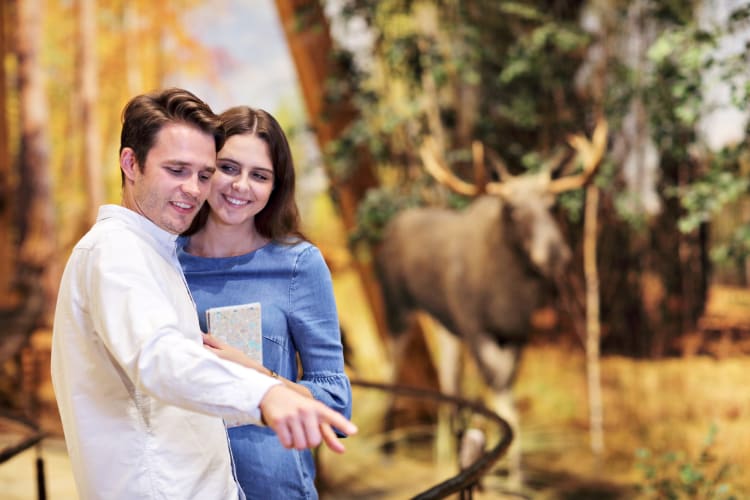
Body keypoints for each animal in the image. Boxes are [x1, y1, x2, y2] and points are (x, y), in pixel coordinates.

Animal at [376, 119, 612, 486]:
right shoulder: (475, 327)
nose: (555, 254)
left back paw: (447, 452)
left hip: (443, 323)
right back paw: (387, 449)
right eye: (513, 210)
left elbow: (507, 395)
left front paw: (511, 472)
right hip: (397, 305)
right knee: (391, 364)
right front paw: (509, 473)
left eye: (553, 204)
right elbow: (499, 392)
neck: (509, 295)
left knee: (448, 377)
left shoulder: (516, 332)